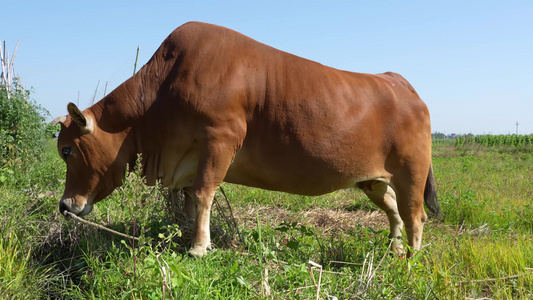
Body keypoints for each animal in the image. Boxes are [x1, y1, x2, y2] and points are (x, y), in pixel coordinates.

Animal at [52, 22, 438, 258]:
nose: (65, 206)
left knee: (415, 215)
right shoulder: (188, 161)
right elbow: (189, 202)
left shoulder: (221, 139)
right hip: (372, 179)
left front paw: (198, 247)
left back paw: (411, 258)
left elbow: (204, 194)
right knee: (394, 211)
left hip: (412, 171)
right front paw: (186, 237)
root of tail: (398, 82)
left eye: (67, 150)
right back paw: (394, 251)